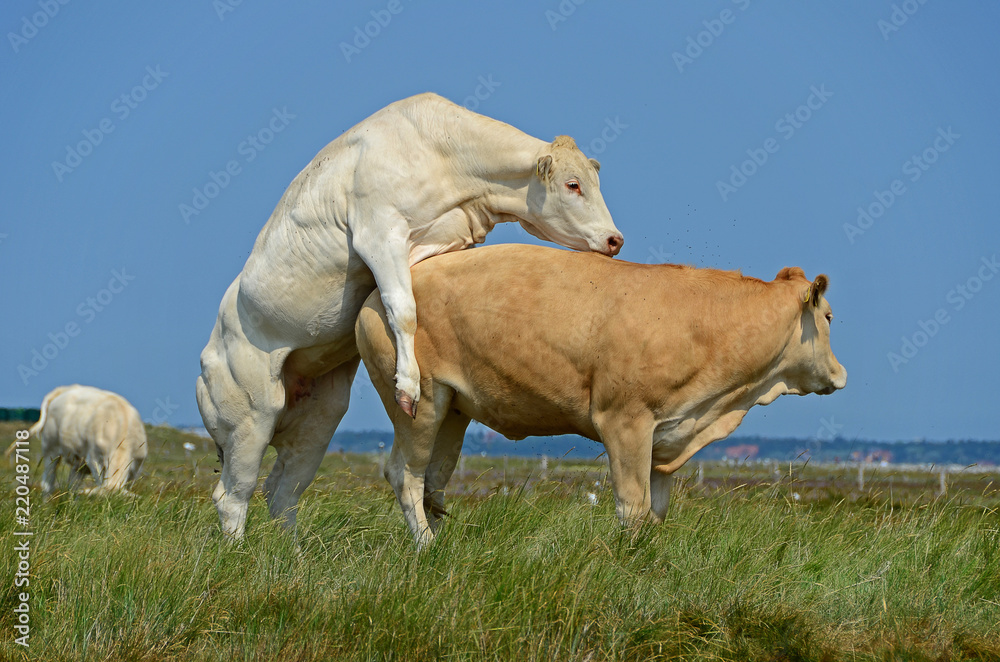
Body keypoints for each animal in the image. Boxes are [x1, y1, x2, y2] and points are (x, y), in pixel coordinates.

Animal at [196, 93, 623, 539]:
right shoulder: (379, 233)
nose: (615, 239)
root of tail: (209, 354)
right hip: (251, 414)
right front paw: (407, 385)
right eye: (573, 185)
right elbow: (402, 310)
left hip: (319, 418)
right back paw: (240, 551)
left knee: (282, 493)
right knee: (232, 496)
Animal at [355, 244, 847, 546]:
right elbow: (633, 507)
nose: (841, 375)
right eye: (829, 316)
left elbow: (656, 511)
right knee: (405, 474)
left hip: (453, 408)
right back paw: (428, 548)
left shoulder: (668, 436)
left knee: (433, 482)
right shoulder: (625, 422)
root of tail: (379, 294)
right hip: (419, 404)